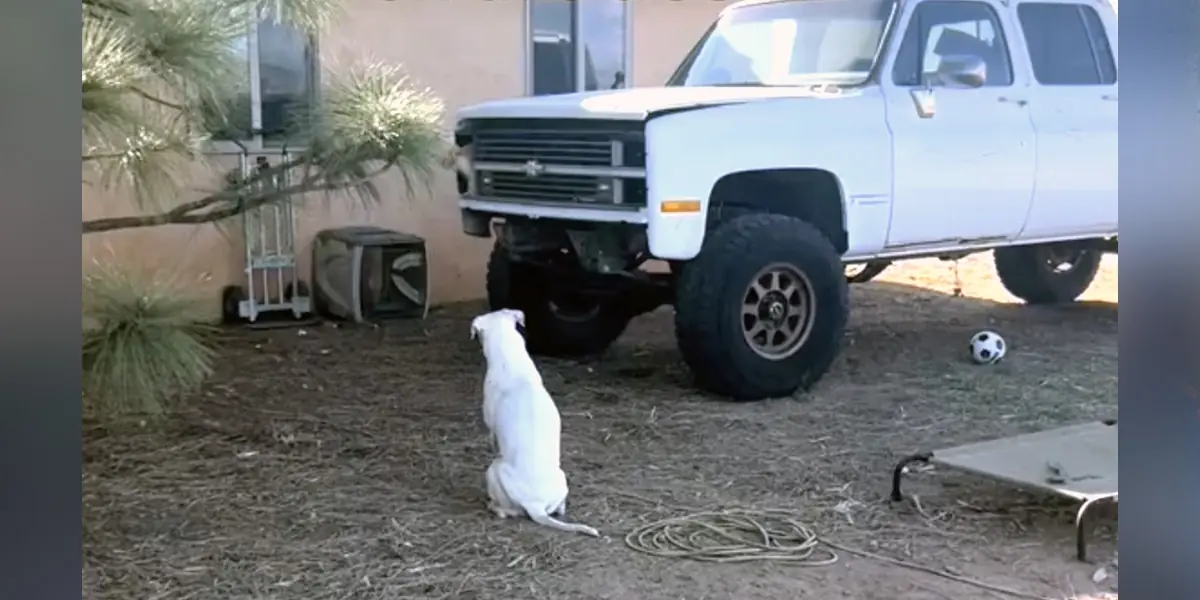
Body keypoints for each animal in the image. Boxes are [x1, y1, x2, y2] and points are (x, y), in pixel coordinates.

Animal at [468, 309, 600, 540]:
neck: (510, 359)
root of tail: (535, 506)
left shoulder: (490, 426)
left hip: (493, 470)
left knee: (507, 511)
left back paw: (494, 506)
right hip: (561, 477)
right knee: (559, 508)